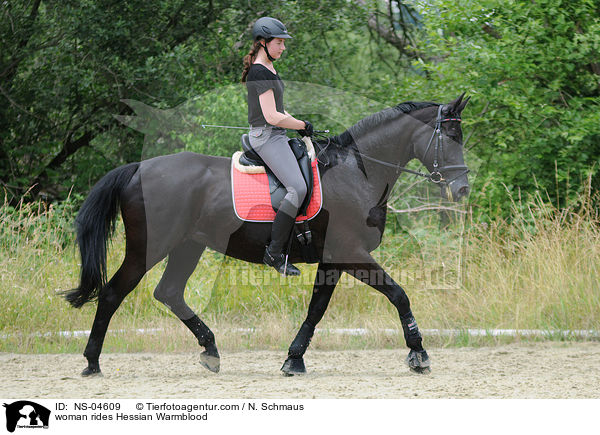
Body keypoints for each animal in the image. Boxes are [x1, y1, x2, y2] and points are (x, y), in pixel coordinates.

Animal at [64, 93, 468, 376]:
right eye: (450, 136)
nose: (462, 188)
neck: (358, 172)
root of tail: (137, 168)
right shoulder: (351, 253)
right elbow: (398, 294)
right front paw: (418, 353)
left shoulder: (334, 259)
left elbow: (317, 308)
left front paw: (294, 359)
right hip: (149, 247)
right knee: (113, 293)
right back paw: (92, 362)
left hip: (188, 246)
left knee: (169, 292)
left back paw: (211, 351)